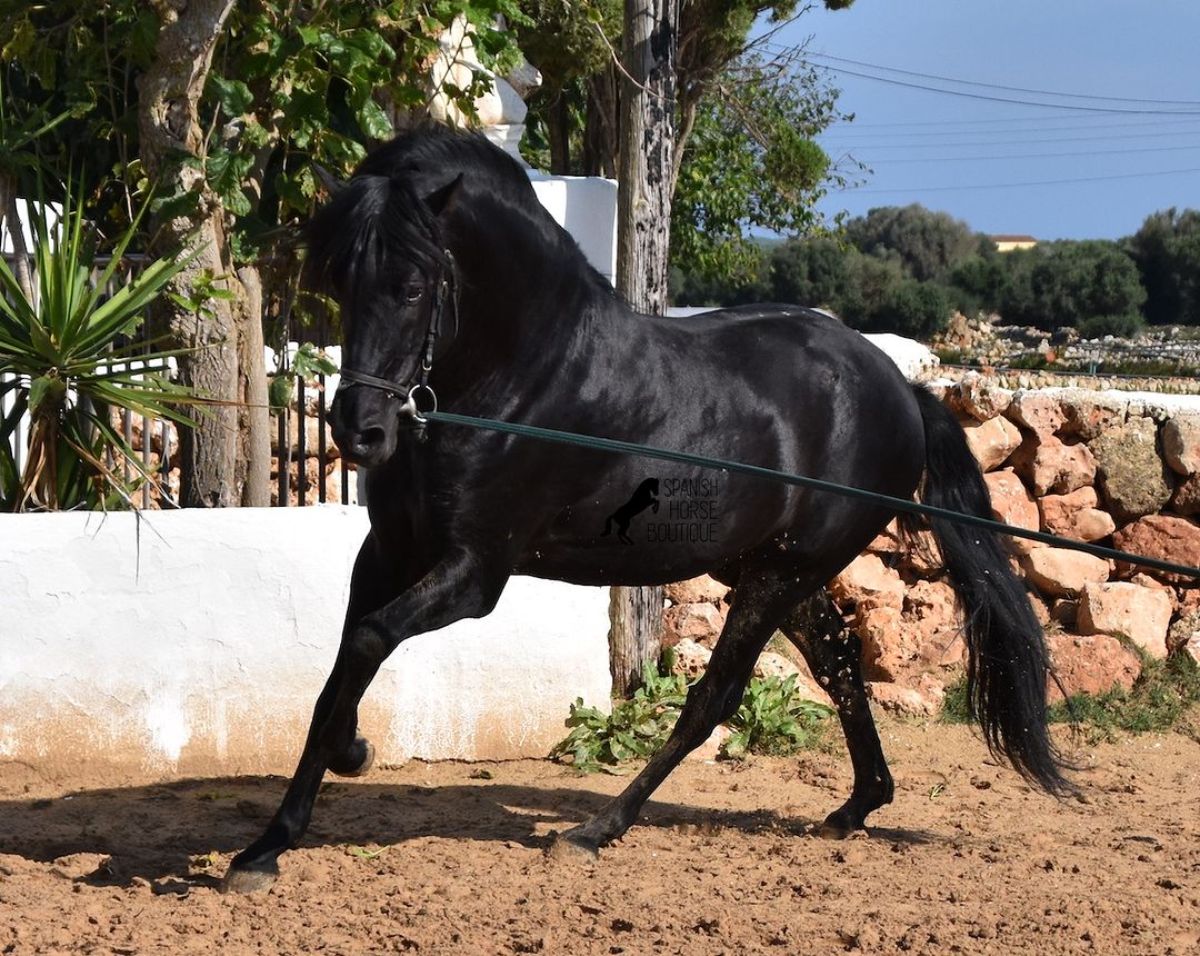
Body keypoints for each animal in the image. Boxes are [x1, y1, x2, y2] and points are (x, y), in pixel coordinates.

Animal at [223, 124, 1070, 887]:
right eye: (340, 280)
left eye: (412, 285)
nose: (359, 431)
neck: (517, 378)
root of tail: (901, 391)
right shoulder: (390, 550)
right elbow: (340, 667)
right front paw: (282, 827)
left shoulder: (475, 573)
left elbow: (368, 642)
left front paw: (321, 789)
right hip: (773, 572)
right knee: (838, 665)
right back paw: (855, 808)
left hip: (781, 576)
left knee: (714, 698)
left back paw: (596, 830)